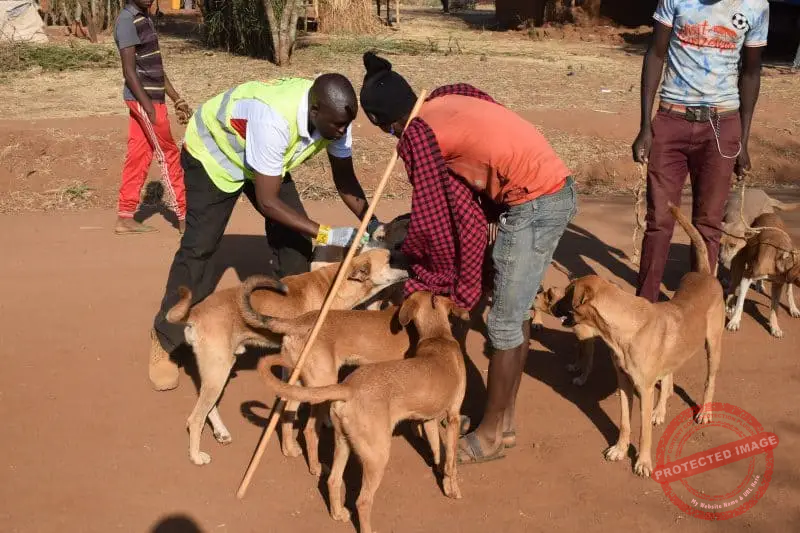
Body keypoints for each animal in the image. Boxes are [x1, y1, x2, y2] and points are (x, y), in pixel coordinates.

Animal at [165, 248, 408, 466]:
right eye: (390, 258)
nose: (411, 257)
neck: (339, 284)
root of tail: (195, 312)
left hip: (216, 370)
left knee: (208, 406)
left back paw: (221, 432)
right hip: (219, 370)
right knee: (195, 418)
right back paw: (196, 456)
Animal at [258, 291, 469, 533]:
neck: (437, 337)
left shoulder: (429, 417)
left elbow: (436, 447)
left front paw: (438, 467)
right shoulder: (453, 417)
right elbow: (451, 460)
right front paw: (452, 488)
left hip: (317, 403)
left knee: (329, 473)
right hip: (371, 447)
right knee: (360, 496)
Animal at [552, 203, 724, 478]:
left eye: (568, 294)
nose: (553, 307)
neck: (626, 326)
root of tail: (704, 273)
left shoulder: (643, 389)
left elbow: (644, 433)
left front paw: (643, 462)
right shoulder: (624, 382)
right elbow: (624, 421)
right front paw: (620, 450)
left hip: (713, 347)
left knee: (710, 381)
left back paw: (704, 412)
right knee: (668, 378)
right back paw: (660, 409)